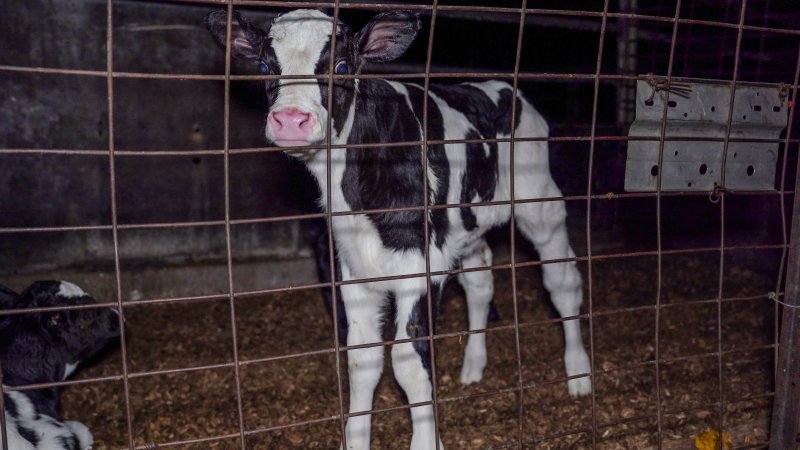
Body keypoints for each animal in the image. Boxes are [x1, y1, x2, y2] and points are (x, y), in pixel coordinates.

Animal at [207, 9, 592, 449]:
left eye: (342, 67)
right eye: (266, 68)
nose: (291, 121)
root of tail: (500, 86)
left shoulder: (421, 266)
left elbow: (408, 361)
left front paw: (426, 440)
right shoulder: (354, 270)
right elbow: (362, 359)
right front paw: (355, 440)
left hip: (540, 201)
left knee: (562, 282)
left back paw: (579, 373)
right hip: (466, 225)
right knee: (480, 283)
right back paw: (473, 367)